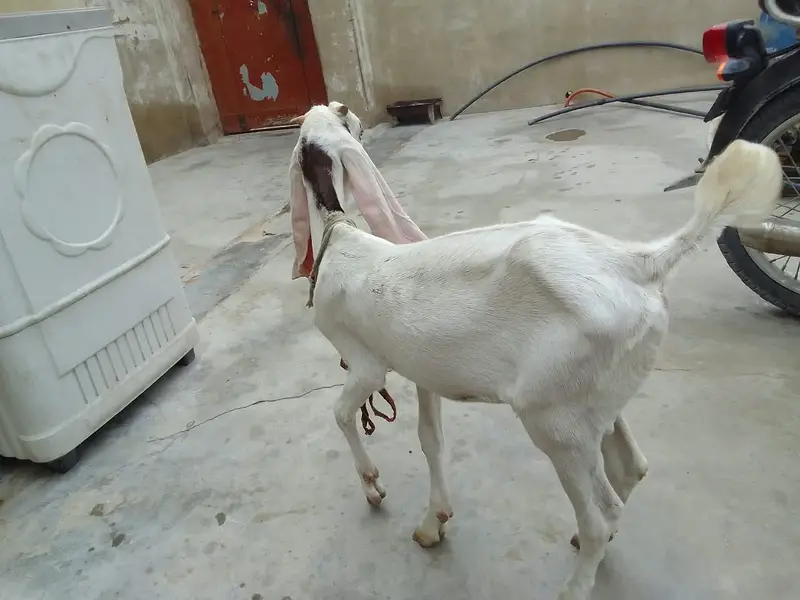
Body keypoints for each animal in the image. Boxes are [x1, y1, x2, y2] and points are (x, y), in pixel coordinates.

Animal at [288, 102, 783, 600]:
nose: (351, 114)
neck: (340, 238)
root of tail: (636, 262)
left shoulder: (367, 364)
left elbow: (342, 414)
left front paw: (373, 484)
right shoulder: (422, 371)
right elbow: (430, 440)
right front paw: (434, 521)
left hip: (552, 417)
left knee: (602, 513)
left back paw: (578, 577)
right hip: (595, 396)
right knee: (630, 468)